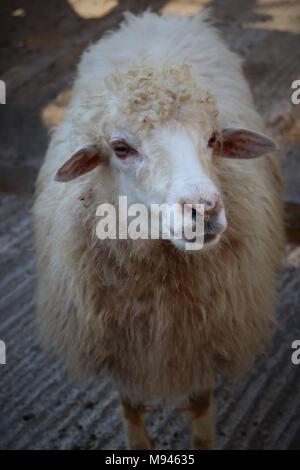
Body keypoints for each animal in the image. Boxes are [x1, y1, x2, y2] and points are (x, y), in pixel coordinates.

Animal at [32, 11, 284, 452]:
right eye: (120, 148)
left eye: (213, 139)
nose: (204, 209)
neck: (159, 282)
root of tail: (156, 17)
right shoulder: (122, 351)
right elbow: (132, 410)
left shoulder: (203, 339)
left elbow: (200, 409)